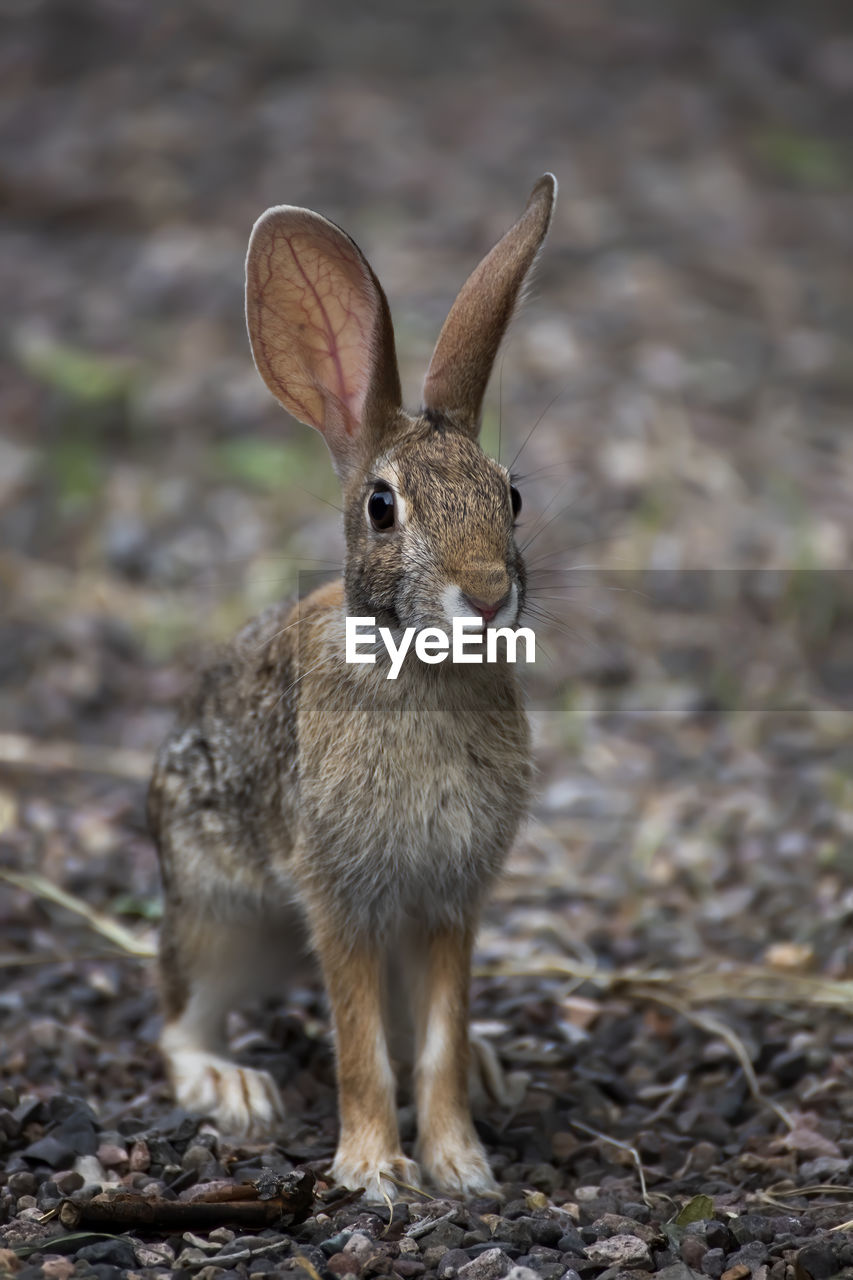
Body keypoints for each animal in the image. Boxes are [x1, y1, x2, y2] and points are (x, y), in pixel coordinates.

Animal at [148, 172, 555, 1198]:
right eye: (382, 508)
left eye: (510, 495)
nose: (486, 594)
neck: (417, 667)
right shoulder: (341, 898)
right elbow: (361, 1046)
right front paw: (375, 1172)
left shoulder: (447, 904)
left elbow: (435, 1041)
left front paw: (461, 1167)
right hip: (217, 912)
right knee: (180, 1017)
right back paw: (231, 1087)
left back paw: (490, 1071)